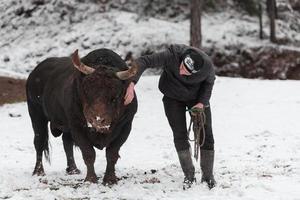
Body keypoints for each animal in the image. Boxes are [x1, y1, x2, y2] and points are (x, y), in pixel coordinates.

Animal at [25, 48, 138, 184]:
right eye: (87, 92)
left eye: (115, 97)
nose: (97, 119)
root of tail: (35, 71)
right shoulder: (76, 126)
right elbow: (88, 153)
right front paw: (91, 179)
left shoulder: (126, 126)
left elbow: (112, 153)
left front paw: (110, 179)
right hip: (36, 113)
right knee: (39, 141)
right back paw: (38, 171)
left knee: (66, 142)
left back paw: (73, 169)